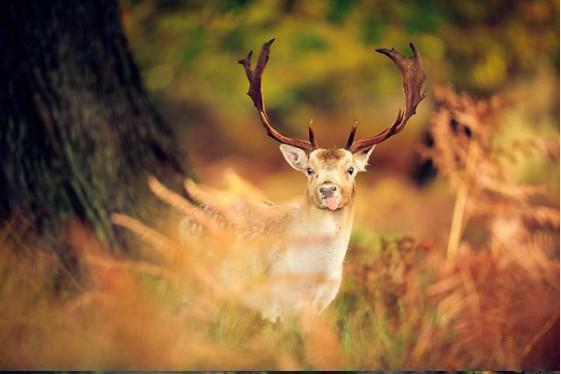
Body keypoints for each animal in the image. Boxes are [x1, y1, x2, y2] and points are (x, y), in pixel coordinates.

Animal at [175, 39, 424, 322]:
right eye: (308, 169)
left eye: (350, 169)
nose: (327, 189)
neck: (312, 279)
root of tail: (183, 218)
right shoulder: (271, 303)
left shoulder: (319, 308)